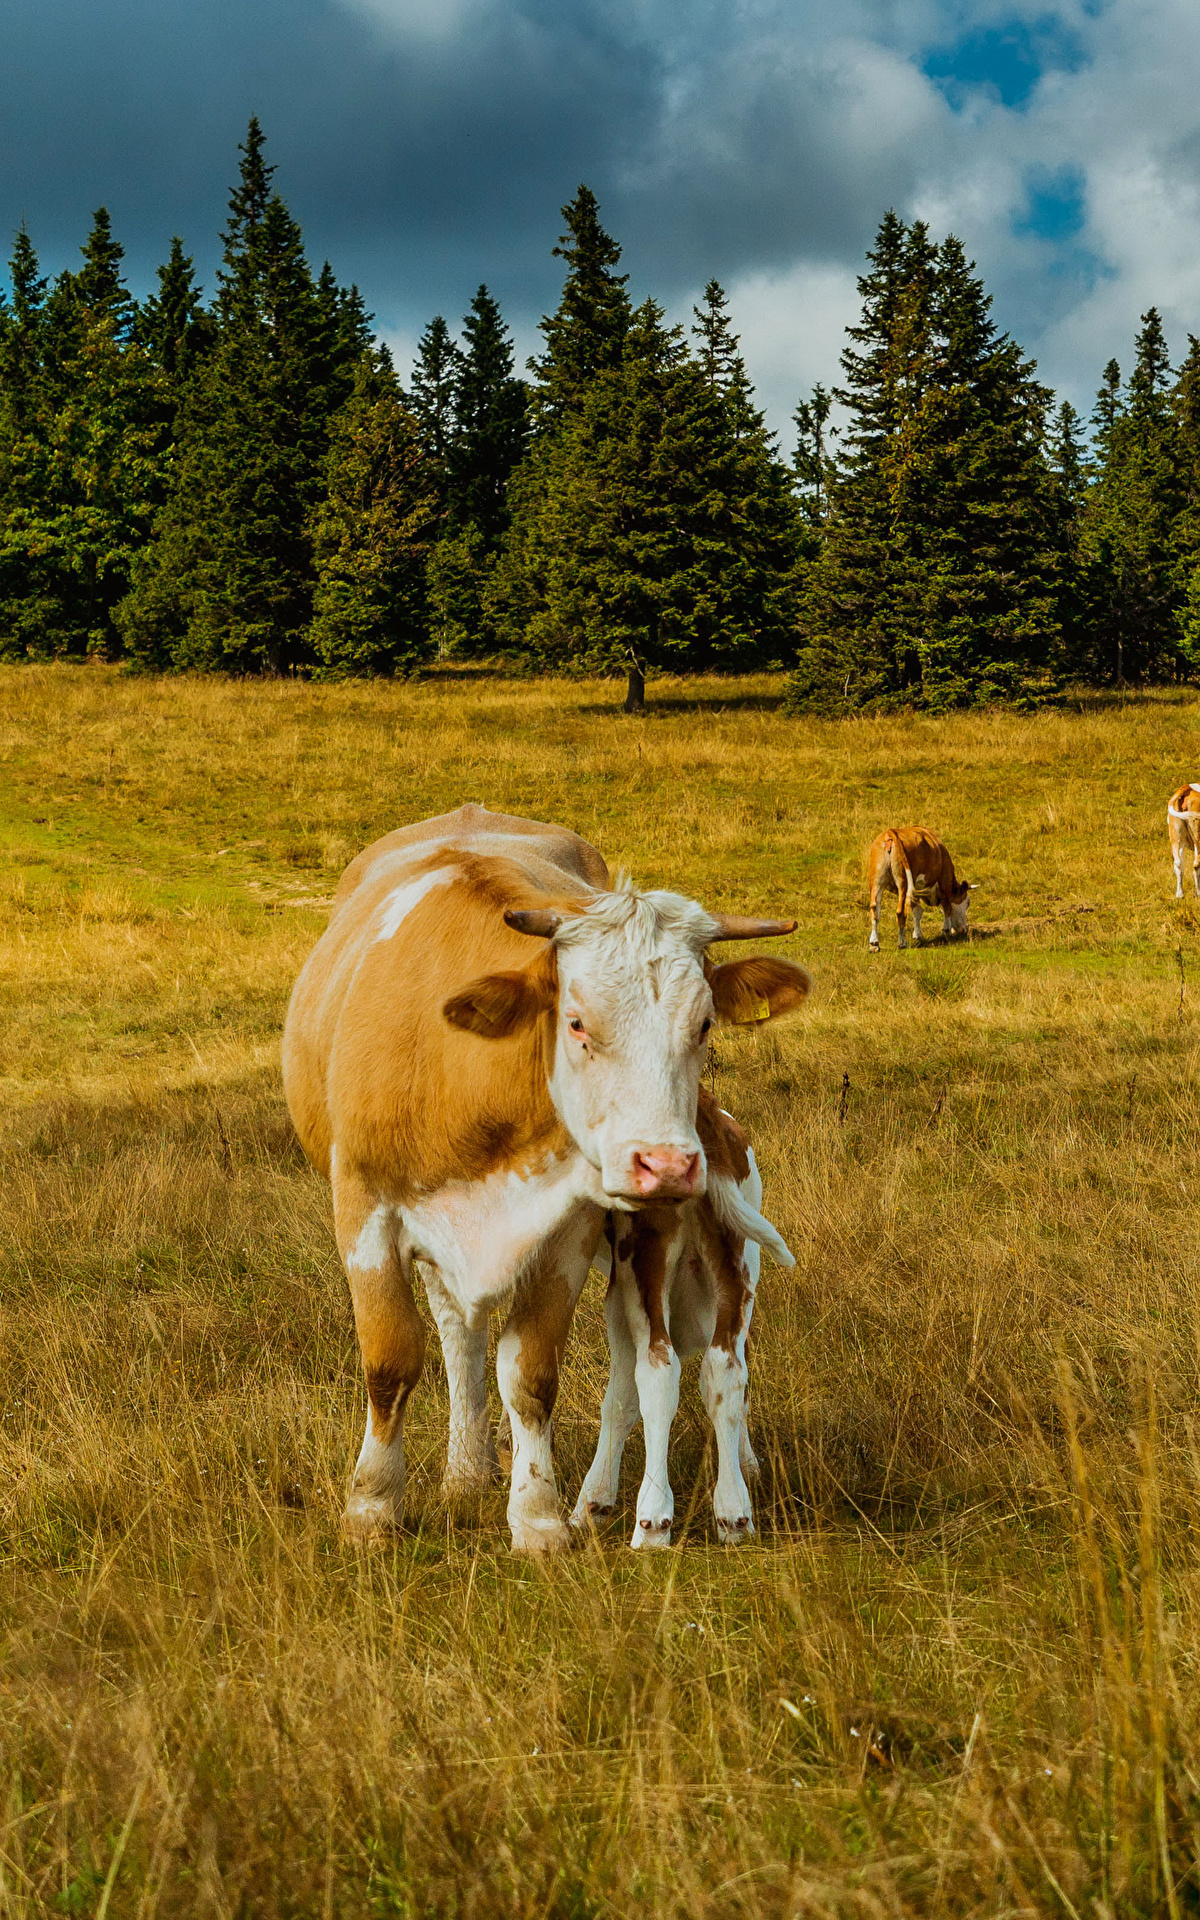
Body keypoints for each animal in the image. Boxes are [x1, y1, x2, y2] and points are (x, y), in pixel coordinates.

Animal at [572, 1090, 794, 1551]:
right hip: (738, 1264)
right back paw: (734, 1512)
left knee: (659, 1371)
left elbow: (620, 1397)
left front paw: (594, 1502)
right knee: (726, 1368)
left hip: (643, 1262)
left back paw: (653, 1521)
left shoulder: (617, 1295)